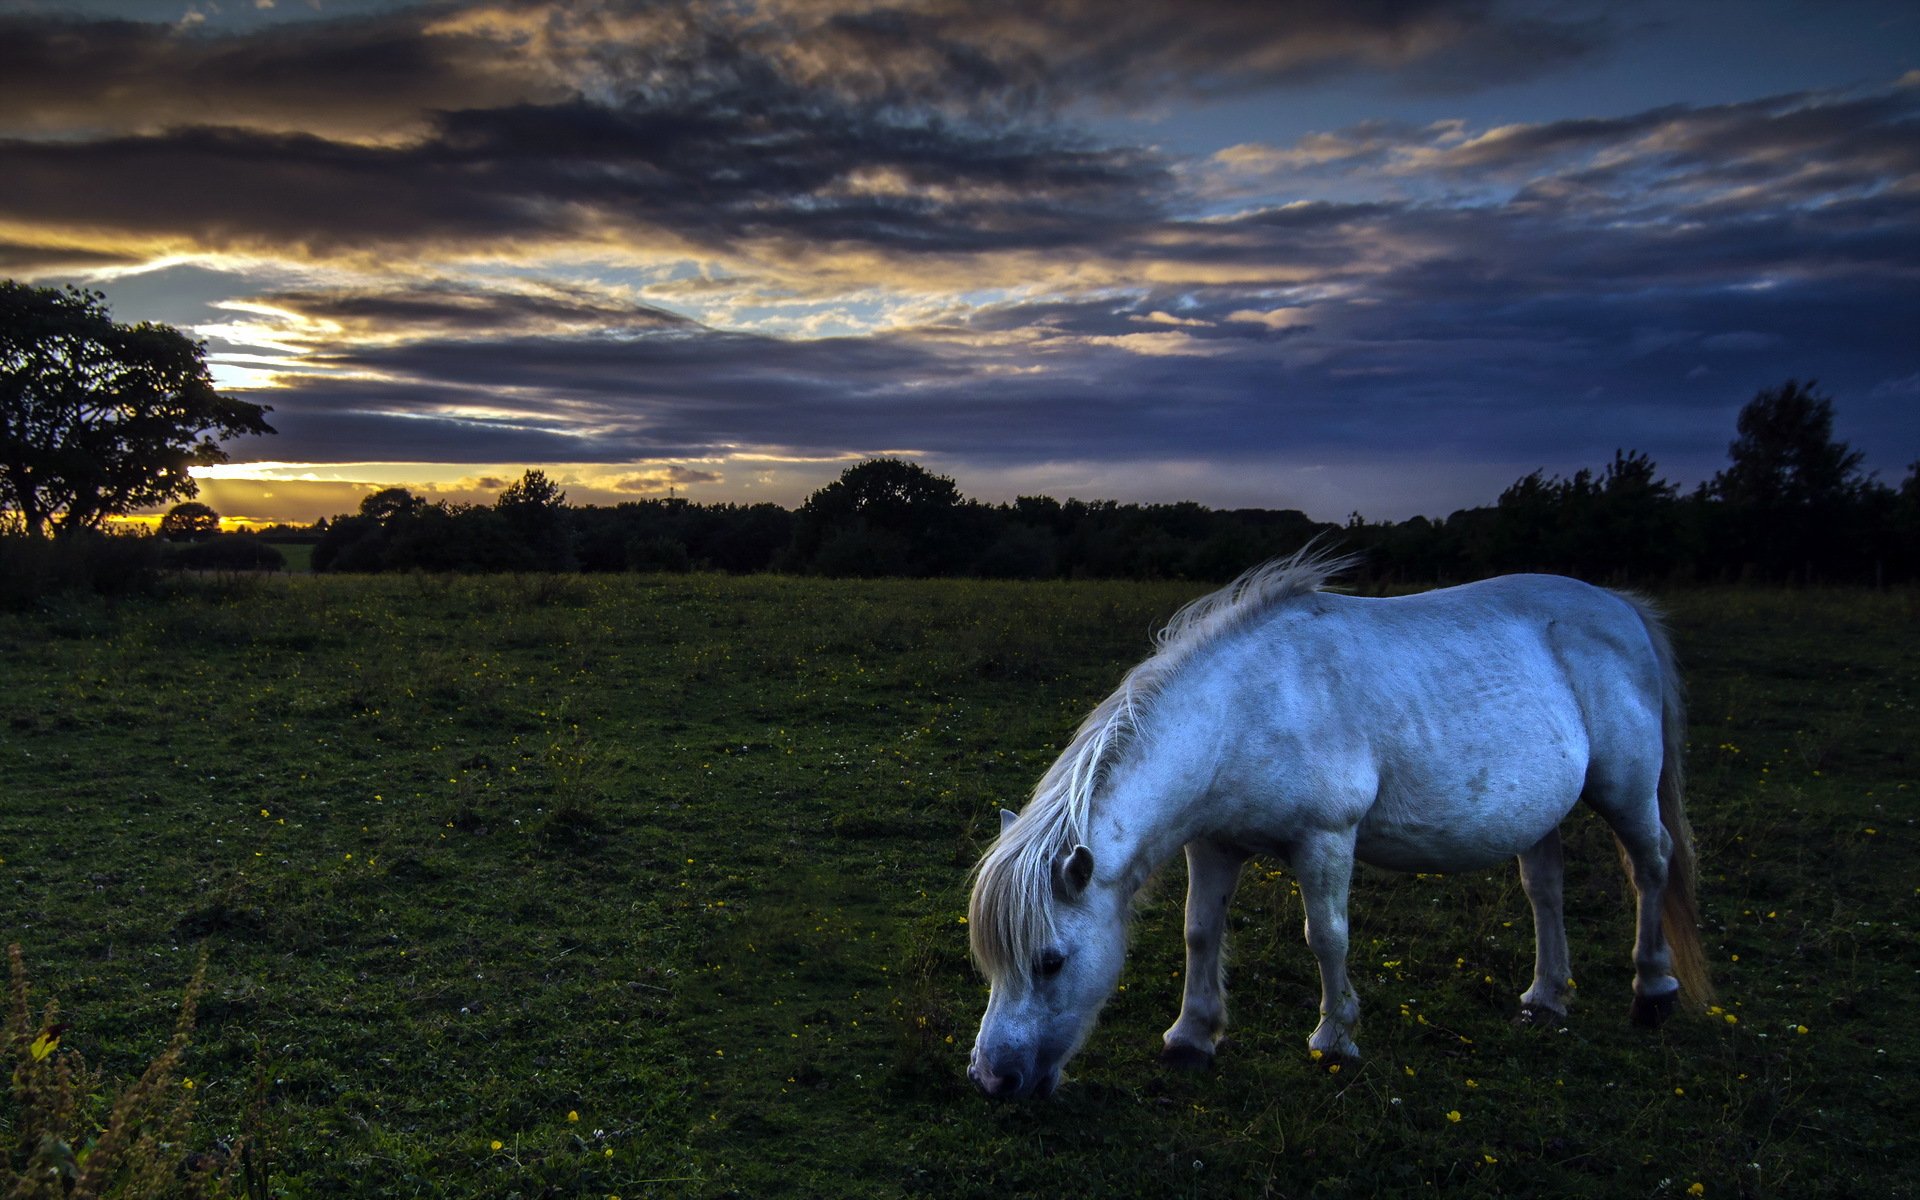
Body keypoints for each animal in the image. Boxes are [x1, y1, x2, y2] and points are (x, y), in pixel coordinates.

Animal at [965, 550, 1711, 1099]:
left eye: (1050, 961)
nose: (993, 1080)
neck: (1249, 706)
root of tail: (1622, 605)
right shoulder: (1212, 845)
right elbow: (1199, 933)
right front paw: (1191, 1038)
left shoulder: (1325, 837)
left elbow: (1326, 937)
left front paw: (1335, 1040)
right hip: (1539, 813)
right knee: (1546, 892)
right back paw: (1547, 998)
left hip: (1626, 788)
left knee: (1652, 866)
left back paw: (1653, 992)